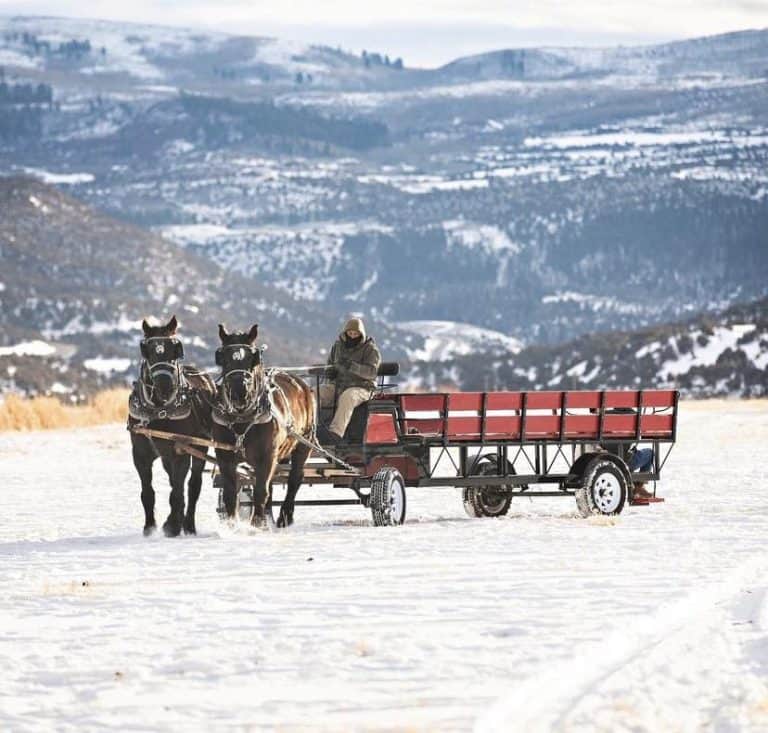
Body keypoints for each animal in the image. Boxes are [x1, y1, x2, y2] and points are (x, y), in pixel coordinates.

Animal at [127, 316, 216, 536]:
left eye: (174, 349)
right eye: (148, 350)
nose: (165, 386)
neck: (159, 409)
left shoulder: (181, 449)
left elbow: (178, 489)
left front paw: (173, 525)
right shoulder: (140, 454)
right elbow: (148, 492)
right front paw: (149, 527)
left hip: (200, 445)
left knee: (193, 485)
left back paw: (188, 524)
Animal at [213, 324, 316, 528]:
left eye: (252, 359)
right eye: (224, 359)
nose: (239, 392)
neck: (242, 418)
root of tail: (303, 385)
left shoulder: (266, 455)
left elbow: (261, 490)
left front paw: (257, 524)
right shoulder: (224, 456)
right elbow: (230, 492)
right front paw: (232, 524)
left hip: (303, 444)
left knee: (294, 479)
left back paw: (285, 516)